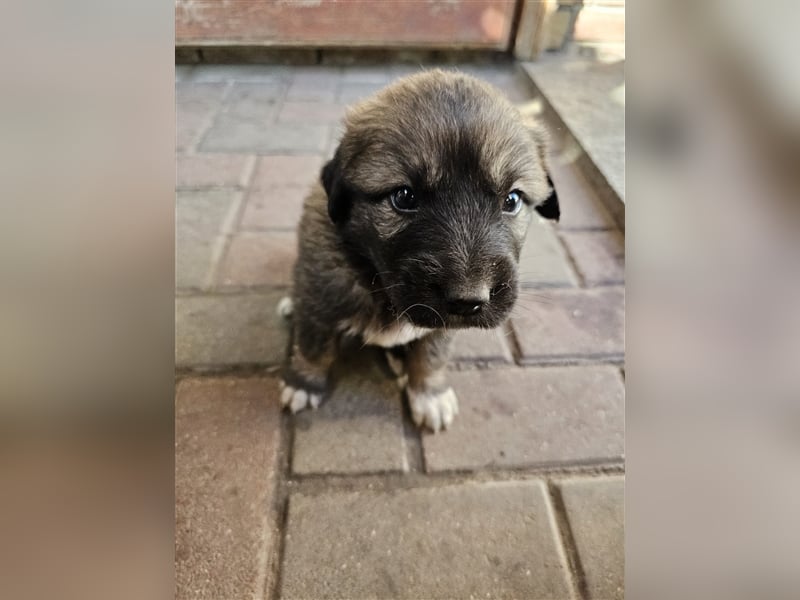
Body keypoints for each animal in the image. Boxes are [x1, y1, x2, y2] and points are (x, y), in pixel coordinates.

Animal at [278, 71, 560, 432]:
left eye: (511, 200)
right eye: (404, 197)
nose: (469, 300)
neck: (380, 283)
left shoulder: (442, 326)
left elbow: (431, 355)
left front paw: (429, 394)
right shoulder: (322, 300)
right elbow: (315, 346)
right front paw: (303, 383)